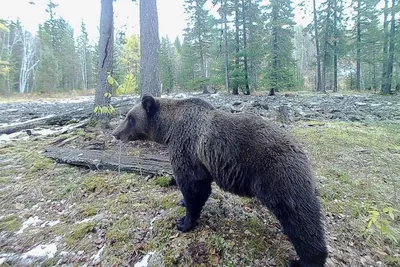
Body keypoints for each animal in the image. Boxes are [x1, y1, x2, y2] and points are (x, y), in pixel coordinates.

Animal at [111, 93, 328, 266]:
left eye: (129, 117)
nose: (115, 133)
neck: (169, 129)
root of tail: (300, 151)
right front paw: (181, 202)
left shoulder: (187, 147)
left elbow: (194, 185)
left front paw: (184, 222)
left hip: (276, 175)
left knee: (299, 216)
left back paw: (306, 260)